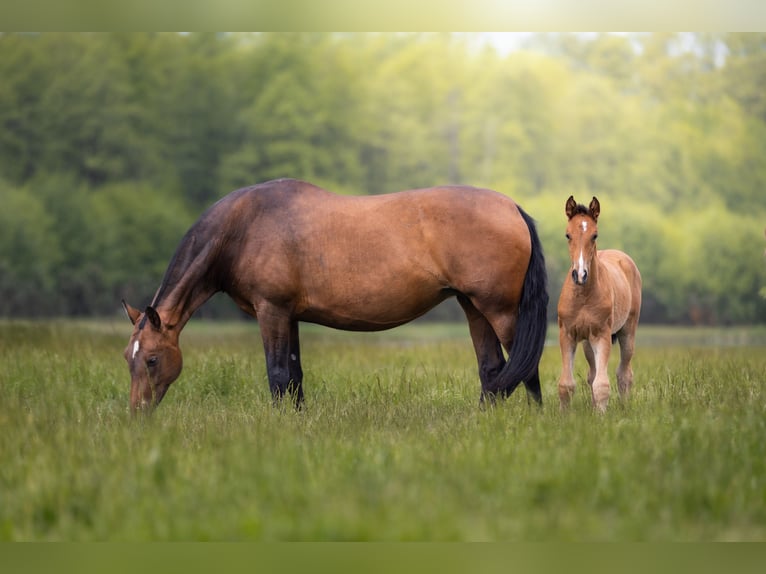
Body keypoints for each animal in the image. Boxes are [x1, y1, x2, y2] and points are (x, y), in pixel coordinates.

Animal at [122, 178, 548, 413]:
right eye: (130, 359)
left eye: (153, 359)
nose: (137, 414)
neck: (241, 228)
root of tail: (512, 208)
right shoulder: (288, 316)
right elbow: (294, 376)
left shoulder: (271, 311)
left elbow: (278, 374)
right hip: (473, 307)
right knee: (492, 370)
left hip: (500, 309)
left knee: (525, 365)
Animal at [556, 196, 642, 412]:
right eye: (567, 235)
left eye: (594, 235)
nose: (580, 275)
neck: (583, 297)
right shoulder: (567, 334)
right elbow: (566, 384)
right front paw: (564, 416)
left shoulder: (602, 335)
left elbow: (602, 385)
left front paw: (601, 416)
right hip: (587, 342)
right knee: (592, 374)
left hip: (627, 331)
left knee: (624, 373)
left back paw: (624, 407)